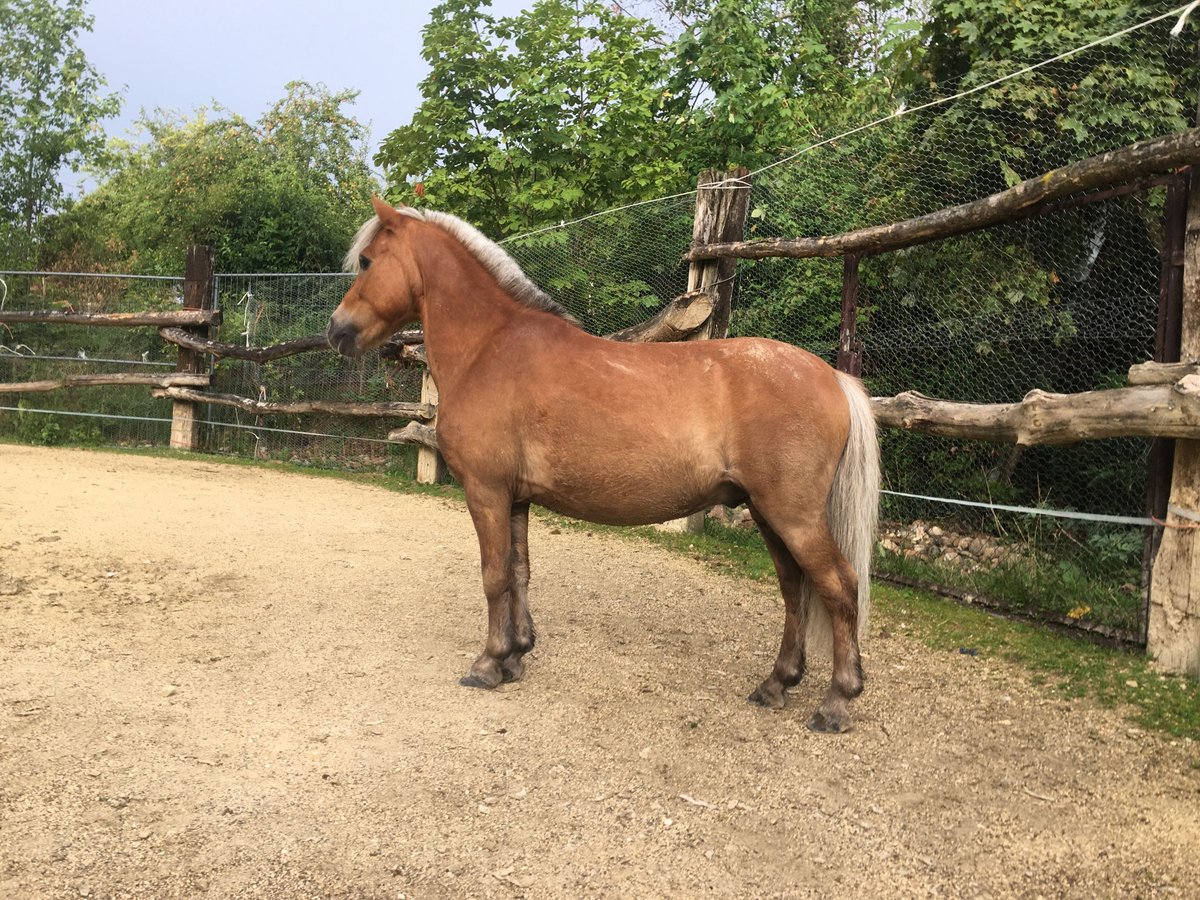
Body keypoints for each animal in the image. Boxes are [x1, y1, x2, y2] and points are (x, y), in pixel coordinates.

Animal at [328, 196, 883, 734]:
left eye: (367, 261)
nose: (336, 331)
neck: (490, 347)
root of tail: (832, 378)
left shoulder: (486, 492)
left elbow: (493, 575)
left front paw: (487, 664)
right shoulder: (516, 499)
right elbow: (519, 573)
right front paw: (515, 656)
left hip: (793, 515)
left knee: (839, 587)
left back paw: (837, 702)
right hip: (770, 515)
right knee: (794, 589)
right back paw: (776, 684)